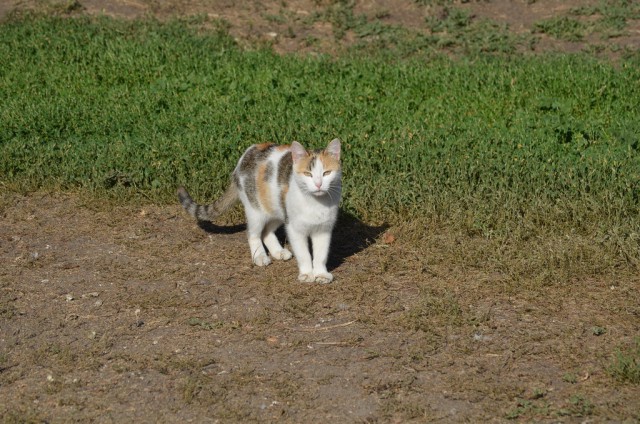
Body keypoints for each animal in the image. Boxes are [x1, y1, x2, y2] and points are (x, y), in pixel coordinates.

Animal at [178, 139, 342, 284]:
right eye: (308, 174)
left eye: (326, 173)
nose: (318, 184)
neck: (316, 203)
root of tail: (247, 153)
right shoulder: (295, 229)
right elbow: (304, 254)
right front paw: (307, 273)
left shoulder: (324, 229)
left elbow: (321, 254)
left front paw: (321, 274)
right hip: (255, 210)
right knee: (253, 234)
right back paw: (260, 256)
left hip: (276, 209)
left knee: (266, 231)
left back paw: (278, 252)